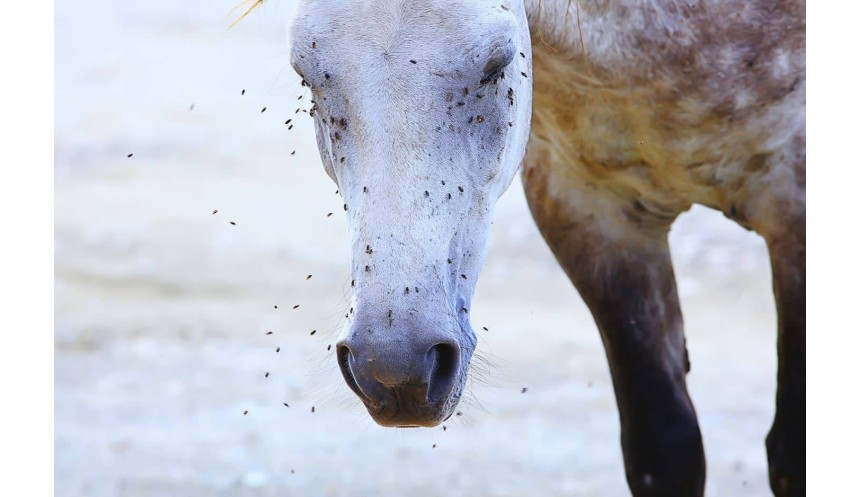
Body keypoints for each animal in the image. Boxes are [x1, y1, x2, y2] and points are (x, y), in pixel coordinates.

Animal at [268, 0, 804, 495]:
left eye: (496, 63)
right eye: (305, 75)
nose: (394, 370)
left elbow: (790, 456)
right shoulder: (589, 212)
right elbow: (664, 451)